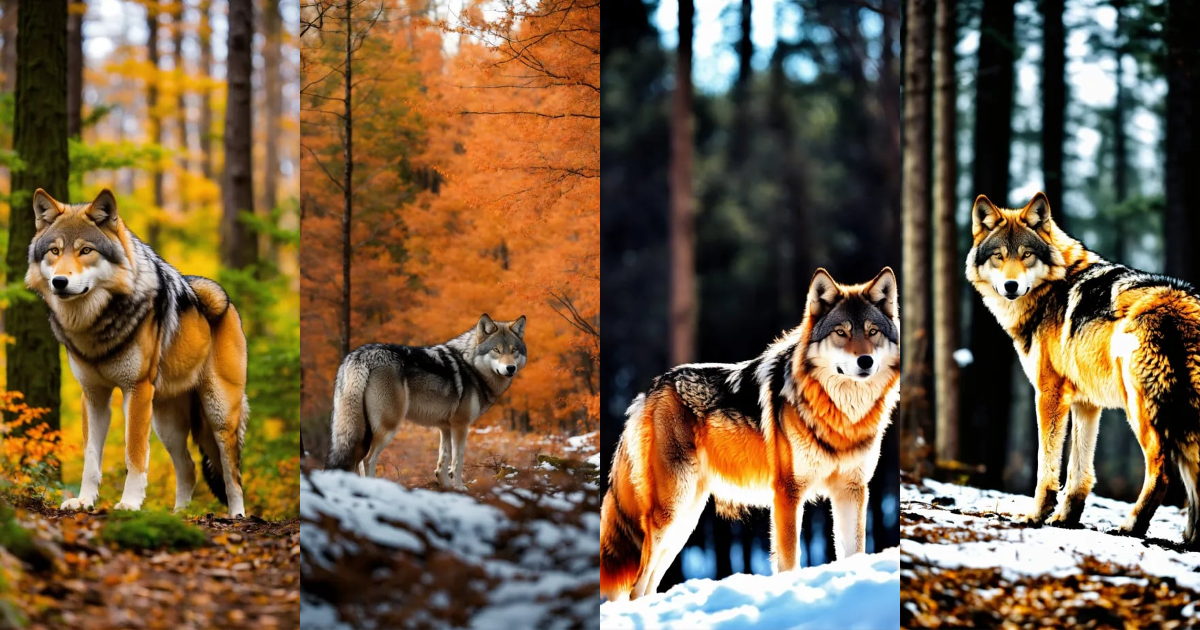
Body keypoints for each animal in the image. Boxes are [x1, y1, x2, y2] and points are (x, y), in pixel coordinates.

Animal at [25, 189, 248, 517]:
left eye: (86, 250)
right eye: (54, 251)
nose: (59, 282)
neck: (95, 327)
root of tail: (223, 300)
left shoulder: (136, 390)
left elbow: (134, 453)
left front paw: (129, 503)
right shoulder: (93, 395)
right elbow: (91, 458)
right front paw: (83, 501)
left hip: (219, 415)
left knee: (232, 474)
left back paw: (236, 515)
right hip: (167, 425)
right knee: (189, 467)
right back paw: (179, 514)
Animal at [325, 314, 527, 487]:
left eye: (514, 350)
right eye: (496, 350)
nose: (510, 368)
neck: (470, 365)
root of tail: (359, 355)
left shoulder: (445, 427)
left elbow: (443, 461)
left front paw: (447, 488)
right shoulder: (461, 425)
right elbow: (457, 461)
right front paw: (459, 488)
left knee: (357, 461)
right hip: (388, 426)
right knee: (367, 460)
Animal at [600, 268, 900, 601]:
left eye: (872, 332)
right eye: (841, 333)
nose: (865, 361)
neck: (842, 418)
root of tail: (650, 390)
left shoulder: (852, 490)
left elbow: (855, 552)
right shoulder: (788, 492)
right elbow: (789, 559)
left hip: (685, 522)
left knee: (649, 583)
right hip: (670, 513)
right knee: (636, 586)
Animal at [967, 191, 1200, 547]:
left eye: (1026, 255)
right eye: (999, 256)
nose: (1011, 285)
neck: (1050, 289)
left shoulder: (1048, 394)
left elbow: (1046, 467)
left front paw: (1036, 516)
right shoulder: (1086, 404)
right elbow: (1079, 472)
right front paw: (1066, 519)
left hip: (1141, 410)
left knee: (1163, 473)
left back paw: (1131, 527)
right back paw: (1192, 538)